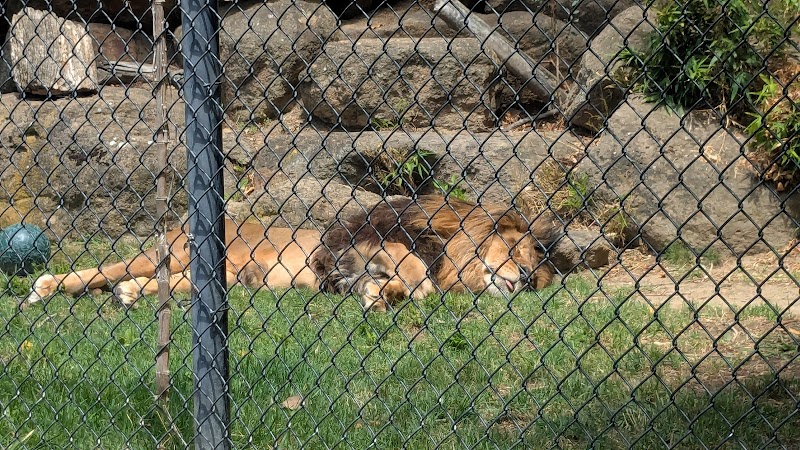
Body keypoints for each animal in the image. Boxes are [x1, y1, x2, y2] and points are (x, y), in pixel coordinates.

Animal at [310, 195, 559, 311]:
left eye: (533, 282)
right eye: (514, 247)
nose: (526, 276)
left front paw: (381, 294)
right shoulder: (357, 239)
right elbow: (403, 255)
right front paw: (415, 283)